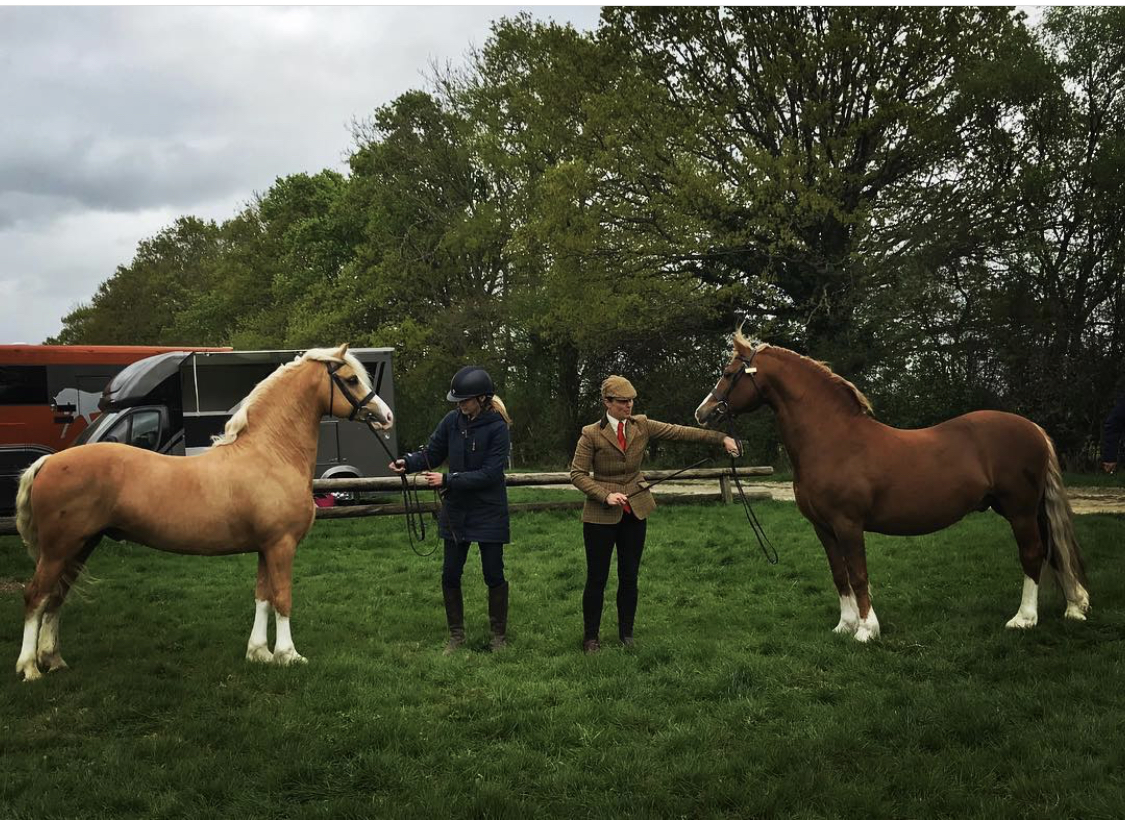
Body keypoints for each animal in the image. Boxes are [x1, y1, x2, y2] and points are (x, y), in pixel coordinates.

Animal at [14, 344, 392, 681]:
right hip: (59, 549)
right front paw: (288, 655)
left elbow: (263, 597)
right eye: (351, 379)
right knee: (35, 597)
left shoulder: (265, 548)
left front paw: (259, 653)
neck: (271, 453)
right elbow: (283, 598)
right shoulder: (281, 545)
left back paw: (53, 659)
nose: (385, 416)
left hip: (80, 546)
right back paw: (30, 668)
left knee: (56, 598)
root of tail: (48, 462)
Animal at [694, 330, 1090, 641]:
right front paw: (844, 626)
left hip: (1020, 509)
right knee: (1054, 550)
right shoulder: (823, 527)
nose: (702, 413)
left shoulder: (848, 524)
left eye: (728, 373)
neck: (832, 440)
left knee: (1032, 553)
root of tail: (1033, 428)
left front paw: (867, 630)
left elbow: (858, 574)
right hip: (1029, 509)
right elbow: (839, 574)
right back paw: (1074, 607)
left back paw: (1024, 619)